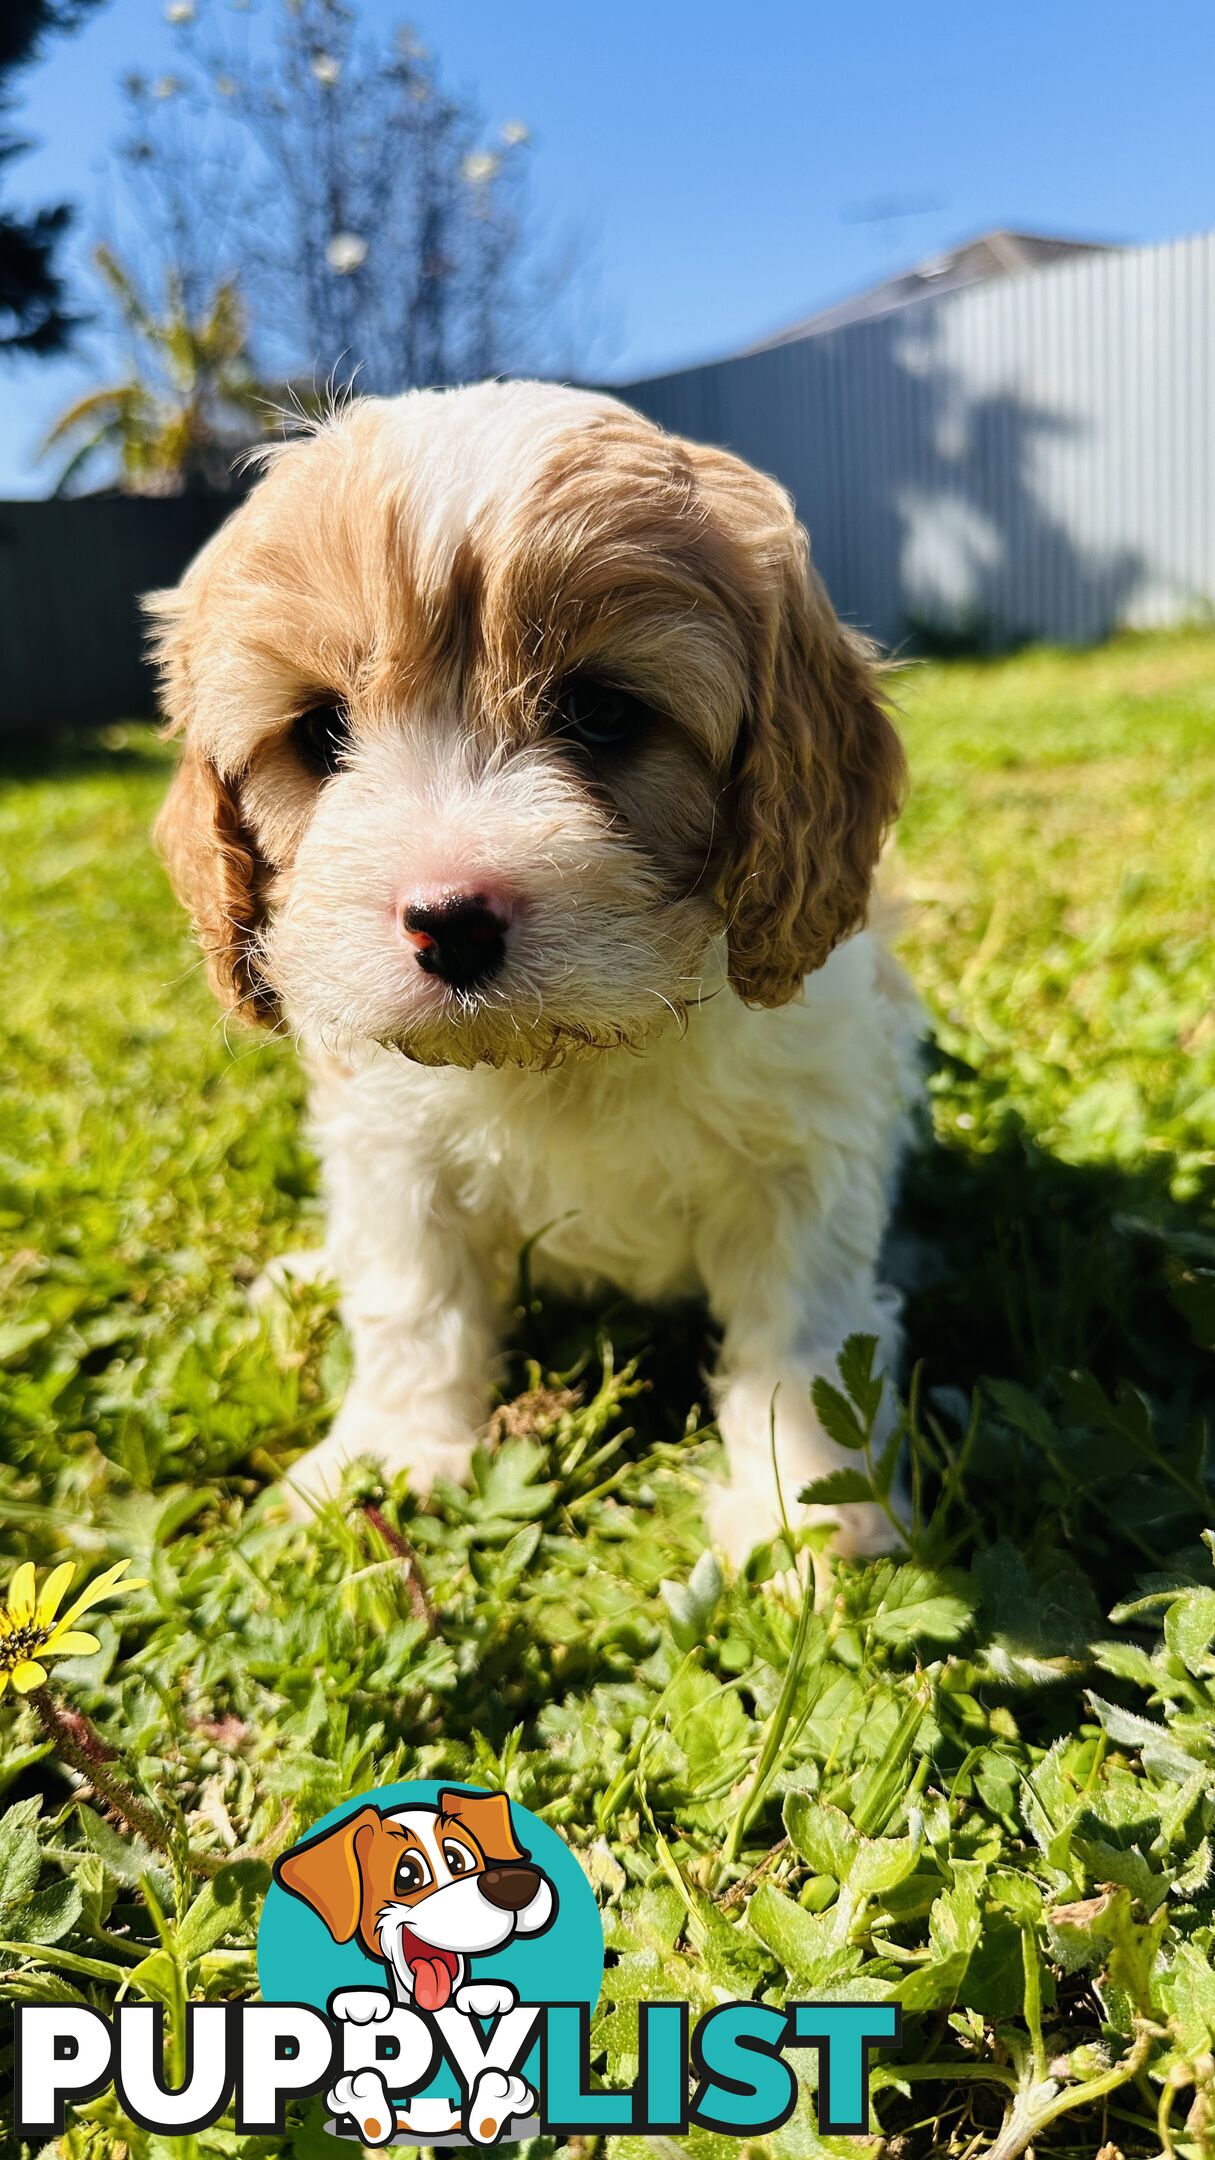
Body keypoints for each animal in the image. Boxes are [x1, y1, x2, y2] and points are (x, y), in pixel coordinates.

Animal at [155, 371, 920, 1555]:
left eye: (602, 713)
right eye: (322, 733)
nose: (450, 921)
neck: (568, 1051)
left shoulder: (805, 1145)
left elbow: (805, 1335)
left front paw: (809, 1512)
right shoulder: (390, 1150)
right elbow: (411, 1298)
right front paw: (389, 1453)